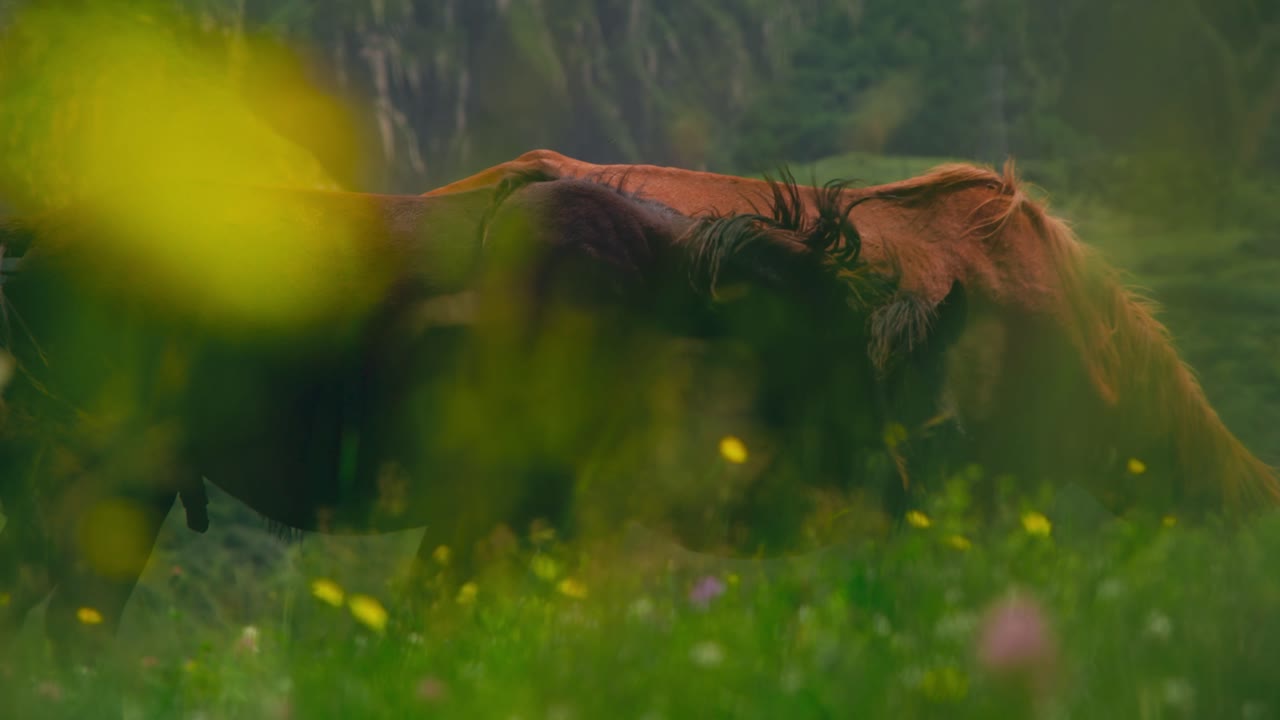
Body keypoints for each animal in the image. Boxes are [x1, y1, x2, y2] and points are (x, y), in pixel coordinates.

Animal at [0, 172, 957, 683]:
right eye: (828, 364)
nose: (893, 480)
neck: (662, 290)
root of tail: (39, 241)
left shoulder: (543, 518)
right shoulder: (484, 508)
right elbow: (428, 625)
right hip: (87, 473)